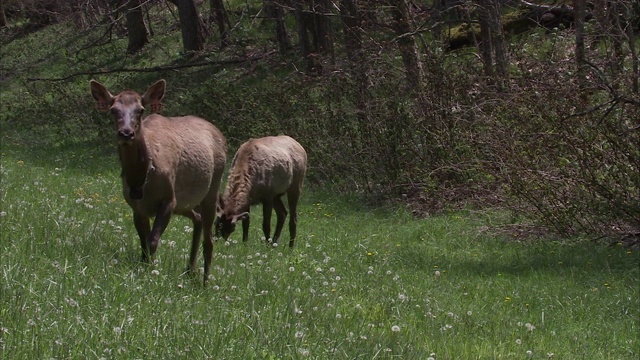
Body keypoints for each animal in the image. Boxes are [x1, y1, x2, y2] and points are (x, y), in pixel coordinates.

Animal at [90, 79, 228, 284]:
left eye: (140, 110)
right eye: (113, 110)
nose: (126, 133)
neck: (140, 177)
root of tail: (221, 135)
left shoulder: (168, 200)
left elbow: (153, 240)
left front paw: (150, 273)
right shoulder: (137, 207)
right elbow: (143, 242)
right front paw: (144, 267)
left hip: (211, 189)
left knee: (209, 239)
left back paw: (205, 281)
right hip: (185, 203)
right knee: (198, 219)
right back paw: (190, 269)